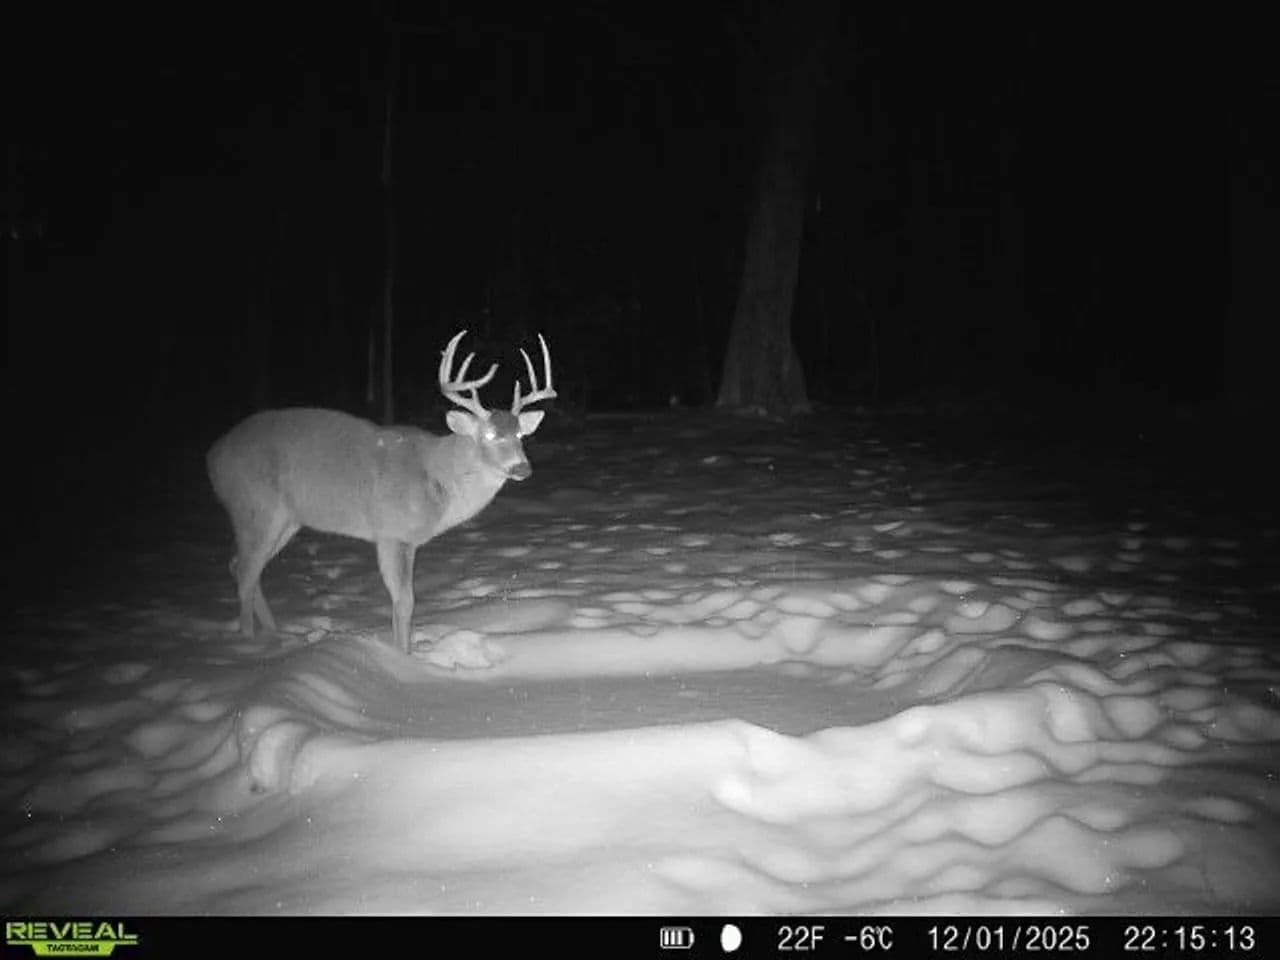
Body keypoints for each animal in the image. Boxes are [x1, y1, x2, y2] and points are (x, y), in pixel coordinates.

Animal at [206, 329, 556, 653]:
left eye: (521, 435)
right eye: (489, 435)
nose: (522, 468)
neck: (436, 474)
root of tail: (213, 457)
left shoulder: (410, 541)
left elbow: (402, 601)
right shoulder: (390, 531)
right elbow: (405, 600)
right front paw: (404, 658)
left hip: (286, 519)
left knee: (242, 566)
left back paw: (273, 634)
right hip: (254, 506)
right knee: (245, 570)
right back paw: (249, 643)